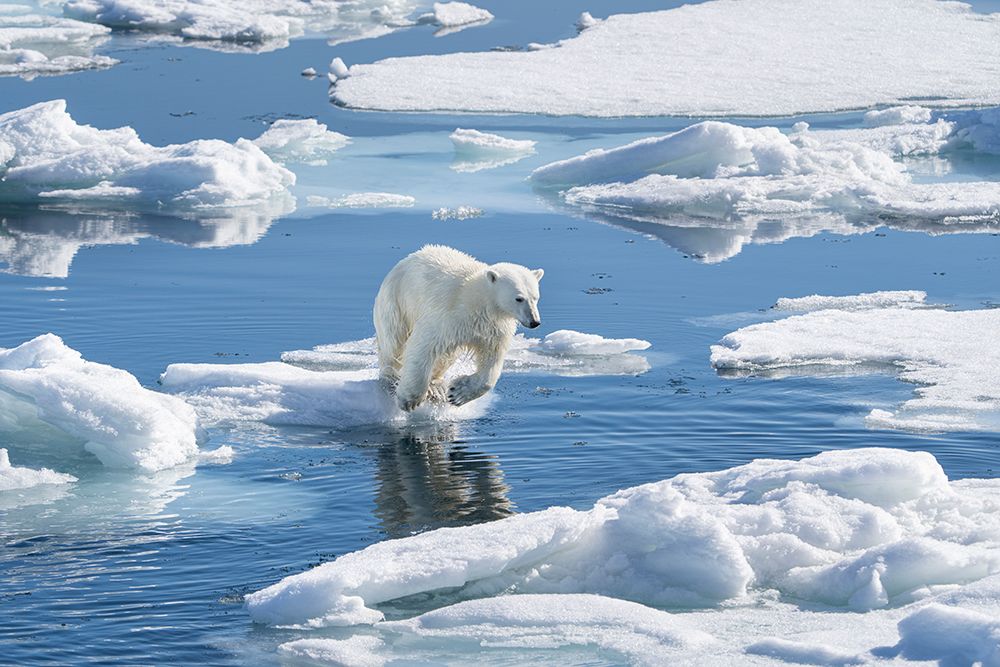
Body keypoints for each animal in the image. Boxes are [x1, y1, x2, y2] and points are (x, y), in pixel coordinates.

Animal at [374, 245, 543, 412]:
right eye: (519, 298)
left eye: (535, 297)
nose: (534, 322)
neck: (477, 300)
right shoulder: (448, 315)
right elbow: (424, 345)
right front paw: (408, 400)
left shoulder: (494, 328)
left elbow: (491, 359)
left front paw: (457, 393)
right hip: (395, 300)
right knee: (393, 341)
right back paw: (391, 376)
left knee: (446, 356)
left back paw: (437, 386)